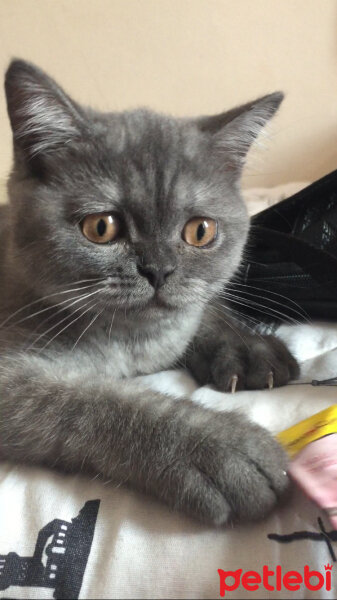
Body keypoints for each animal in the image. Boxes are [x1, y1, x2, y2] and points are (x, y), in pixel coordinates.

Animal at [0, 58, 298, 524]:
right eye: (100, 227)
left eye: (200, 231)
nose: (158, 270)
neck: (136, 341)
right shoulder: (12, 378)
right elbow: (93, 403)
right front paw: (218, 449)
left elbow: (201, 310)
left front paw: (247, 347)